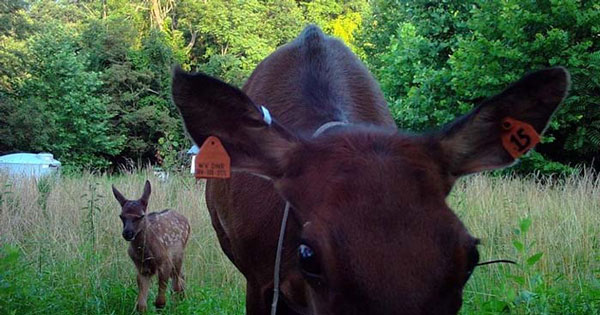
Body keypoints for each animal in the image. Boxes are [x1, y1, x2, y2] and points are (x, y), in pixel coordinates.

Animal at [110, 181, 190, 312]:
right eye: (121, 216)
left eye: (141, 216)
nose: (127, 233)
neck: (146, 252)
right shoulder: (142, 268)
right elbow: (141, 305)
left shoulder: (165, 263)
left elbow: (160, 302)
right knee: (181, 278)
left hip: (178, 256)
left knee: (176, 283)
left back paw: (178, 304)